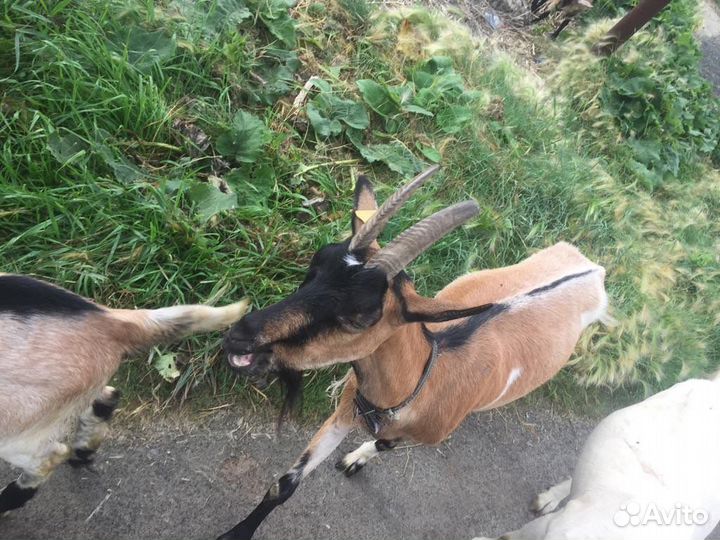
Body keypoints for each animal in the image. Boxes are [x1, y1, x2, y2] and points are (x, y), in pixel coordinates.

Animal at [0, 274, 248, 514]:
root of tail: (110, 319)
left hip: (16, 422)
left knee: (51, 457)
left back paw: (9, 499)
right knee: (107, 397)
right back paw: (83, 452)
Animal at [217, 165, 609, 540]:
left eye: (360, 316)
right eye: (315, 265)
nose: (241, 338)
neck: (421, 379)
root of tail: (593, 267)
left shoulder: (419, 435)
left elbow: (385, 445)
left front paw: (355, 460)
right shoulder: (343, 415)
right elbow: (284, 484)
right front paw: (234, 532)